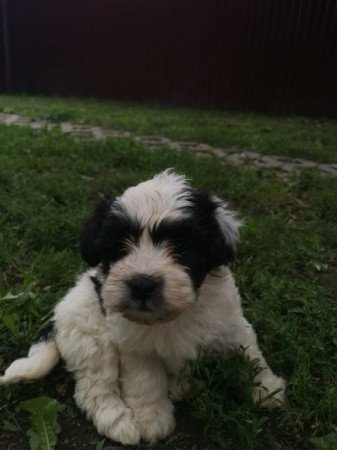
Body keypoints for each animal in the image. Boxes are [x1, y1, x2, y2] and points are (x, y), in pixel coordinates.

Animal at [0, 171, 284, 444]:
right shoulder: (135, 347)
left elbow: (250, 355)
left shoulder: (231, 323)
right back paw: (118, 421)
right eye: (119, 247)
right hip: (92, 333)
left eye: (181, 246)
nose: (142, 285)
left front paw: (268, 390)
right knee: (94, 387)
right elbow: (146, 381)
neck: (171, 315)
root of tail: (56, 322)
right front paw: (152, 419)